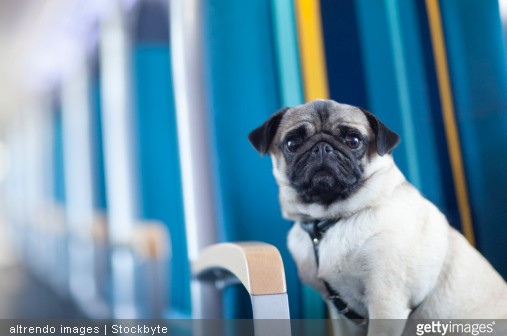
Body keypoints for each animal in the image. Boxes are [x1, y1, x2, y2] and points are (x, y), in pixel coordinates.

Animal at [249, 100, 507, 336]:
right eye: (293, 143)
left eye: (353, 141)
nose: (322, 148)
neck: (331, 220)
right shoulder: (342, 315)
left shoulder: (386, 303)